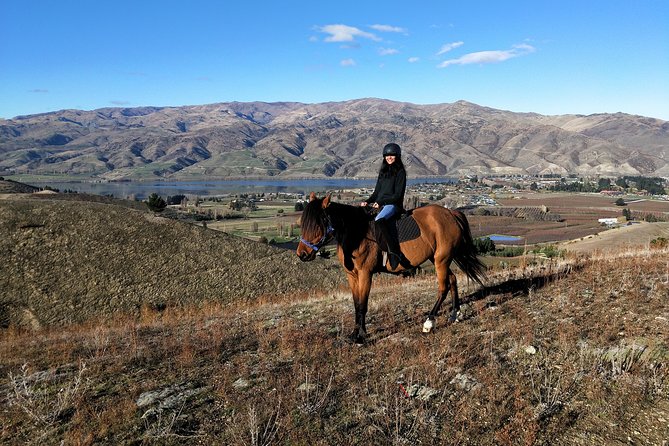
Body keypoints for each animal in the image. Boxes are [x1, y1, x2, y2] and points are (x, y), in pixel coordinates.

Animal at [298, 193, 486, 344]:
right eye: (302, 223)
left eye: (319, 223)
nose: (302, 254)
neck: (357, 234)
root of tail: (451, 213)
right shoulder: (352, 275)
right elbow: (356, 303)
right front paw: (354, 335)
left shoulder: (365, 274)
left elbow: (363, 305)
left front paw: (361, 336)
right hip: (438, 259)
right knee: (452, 280)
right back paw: (455, 314)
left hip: (442, 259)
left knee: (443, 287)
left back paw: (429, 323)